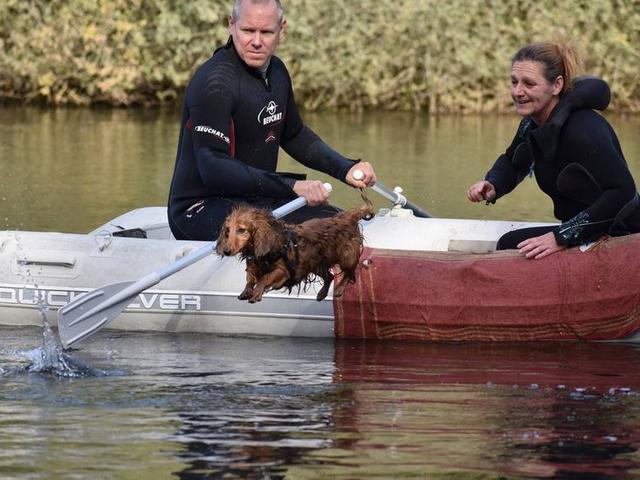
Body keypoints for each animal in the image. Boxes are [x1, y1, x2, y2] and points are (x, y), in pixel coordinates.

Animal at [216, 194, 376, 300]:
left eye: (241, 230)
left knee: (350, 272)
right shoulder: (252, 266)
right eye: (227, 231)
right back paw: (322, 294)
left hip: (346, 256)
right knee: (330, 276)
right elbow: (250, 279)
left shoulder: (283, 272)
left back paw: (339, 289)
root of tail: (346, 217)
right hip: (314, 264)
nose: (226, 251)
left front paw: (256, 292)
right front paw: (246, 291)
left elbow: (265, 278)